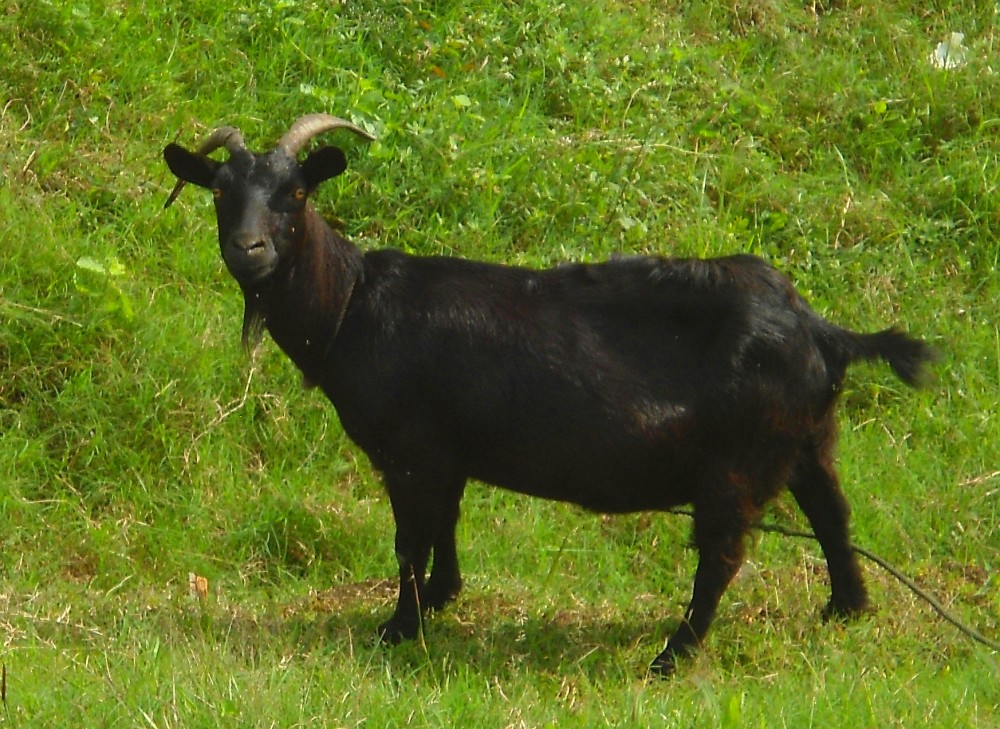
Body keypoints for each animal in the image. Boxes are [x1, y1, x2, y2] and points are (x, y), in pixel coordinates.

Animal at [160, 114, 932, 676]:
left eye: (295, 192)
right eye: (220, 192)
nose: (249, 250)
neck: (352, 306)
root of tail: (820, 328)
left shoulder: (409, 449)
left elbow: (410, 537)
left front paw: (397, 627)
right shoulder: (448, 448)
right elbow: (446, 522)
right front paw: (442, 599)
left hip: (736, 461)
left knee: (722, 555)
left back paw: (672, 654)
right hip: (808, 436)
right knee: (832, 512)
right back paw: (846, 608)